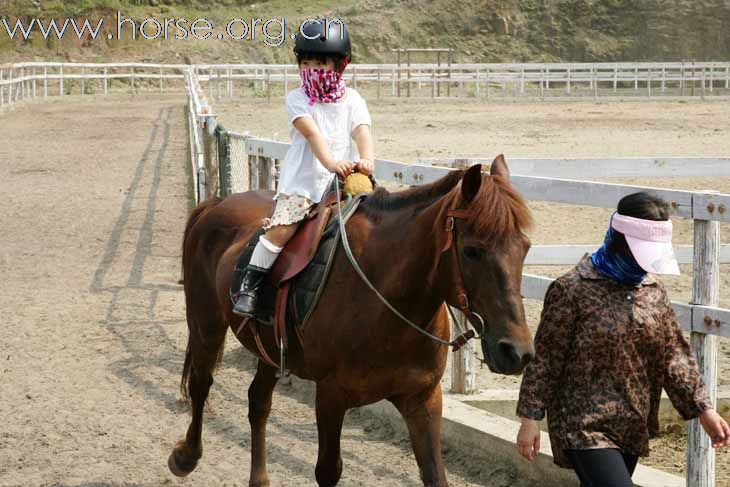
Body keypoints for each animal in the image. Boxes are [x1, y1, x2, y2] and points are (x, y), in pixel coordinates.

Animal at [169, 156, 536, 487]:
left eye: (525, 247)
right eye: (473, 251)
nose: (516, 351)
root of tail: (218, 203)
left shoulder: (423, 399)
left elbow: (435, 475)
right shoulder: (331, 397)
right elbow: (328, 471)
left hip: (269, 350)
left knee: (258, 402)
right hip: (205, 323)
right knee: (201, 383)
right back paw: (186, 456)